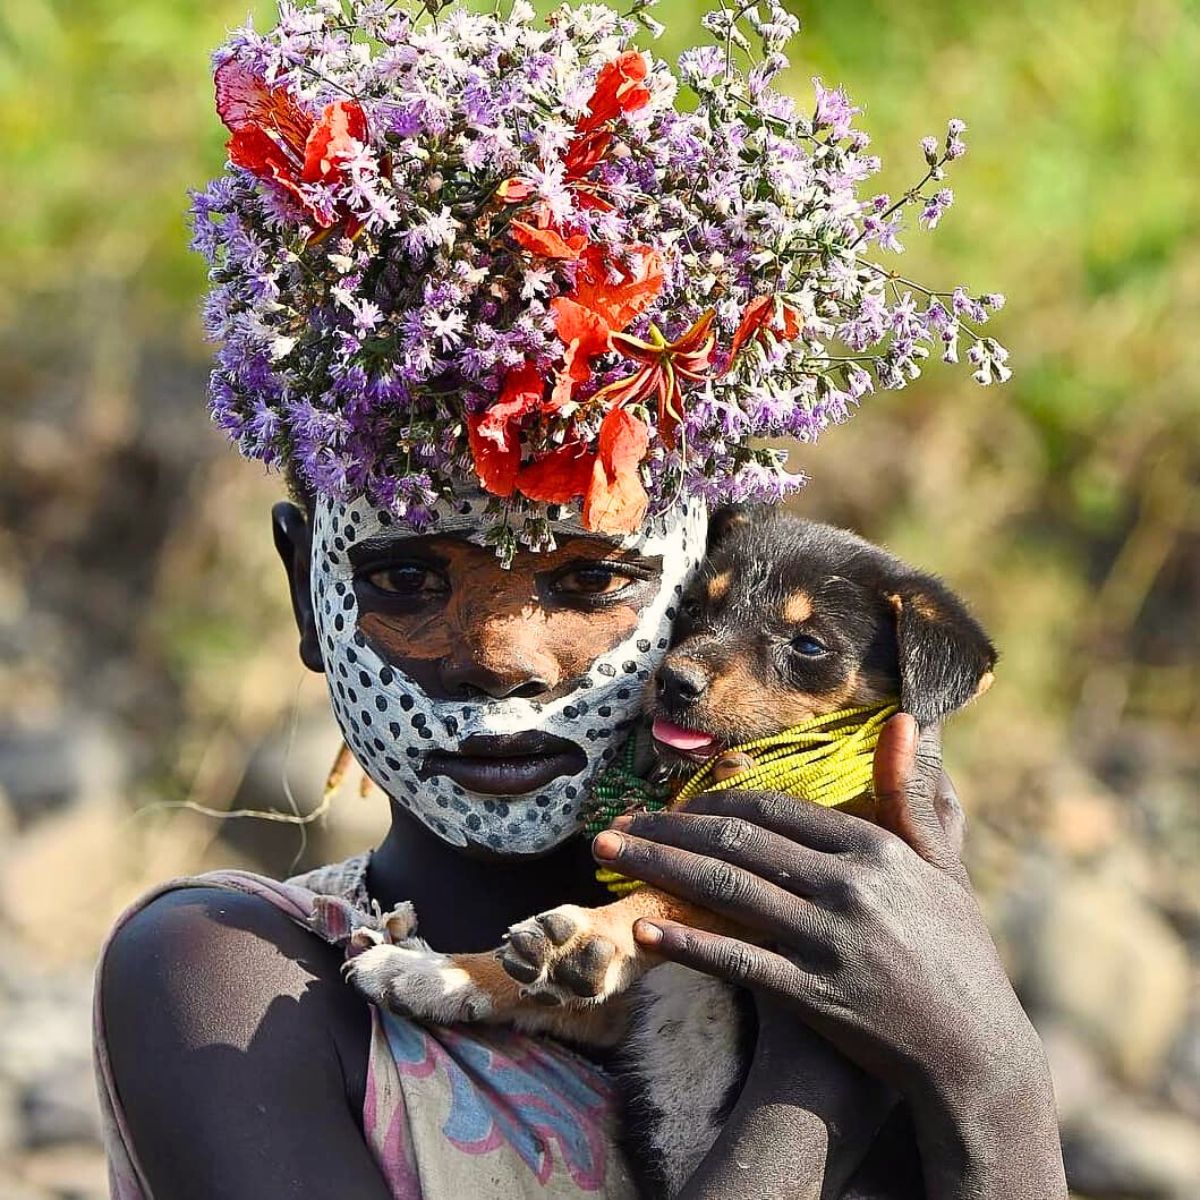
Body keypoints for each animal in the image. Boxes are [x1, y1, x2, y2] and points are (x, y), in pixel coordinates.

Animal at [345, 511, 993, 1195]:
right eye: (697, 610)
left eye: (809, 646)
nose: (674, 682)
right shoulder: (624, 1017)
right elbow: (527, 988)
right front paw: (430, 972)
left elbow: (682, 894)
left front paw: (584, 936)